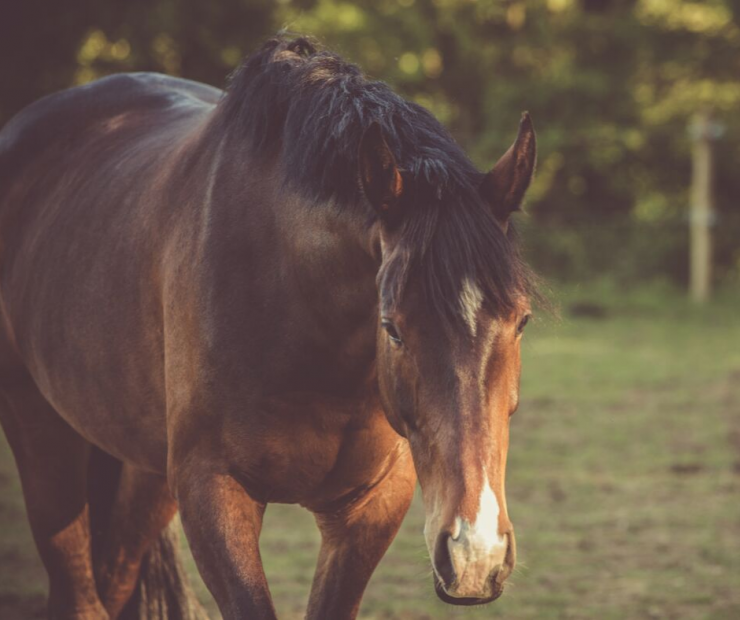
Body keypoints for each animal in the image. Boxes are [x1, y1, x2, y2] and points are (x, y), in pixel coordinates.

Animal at [0, 35, 540, 620]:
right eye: (392, 327)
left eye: (521, 321)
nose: (474, 554)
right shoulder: (213, 495)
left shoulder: (370, 507)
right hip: (42, 433)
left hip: (145, 474)